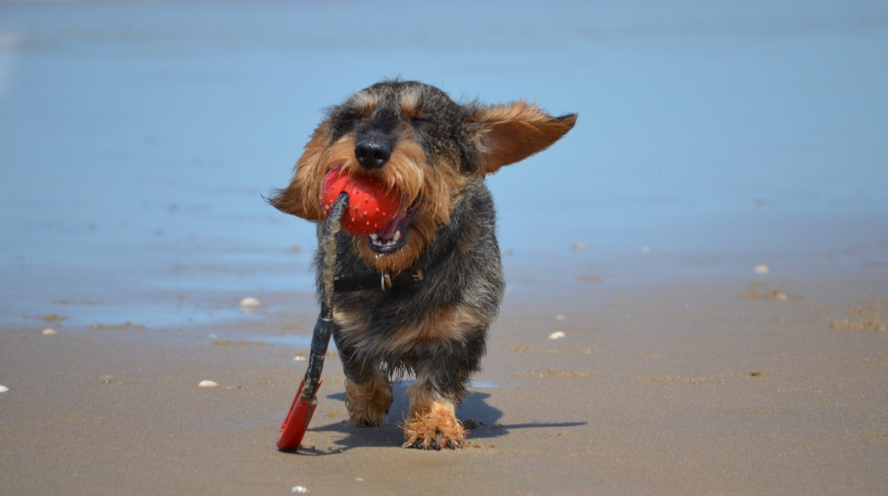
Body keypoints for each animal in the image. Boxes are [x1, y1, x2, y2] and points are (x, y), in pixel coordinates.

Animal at [270, 80, 576, 450]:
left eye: (422, 120)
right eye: (354, 118)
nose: (369, 151)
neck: (397, 272)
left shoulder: (462, 331)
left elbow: (436, 384)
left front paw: (434, 425)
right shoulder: (341, 320)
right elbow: (360, 369)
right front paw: (368, 404)